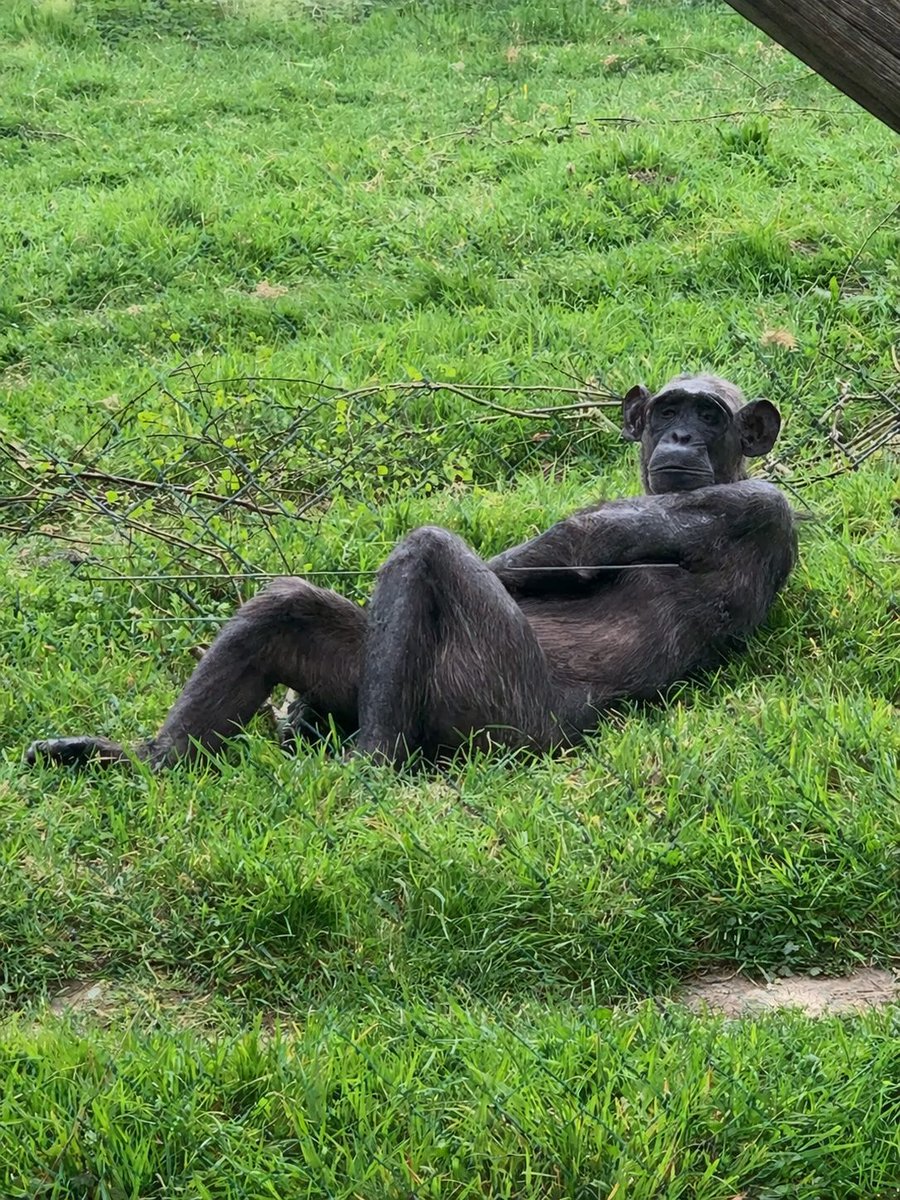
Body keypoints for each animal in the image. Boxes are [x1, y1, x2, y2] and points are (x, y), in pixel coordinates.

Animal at [25, 373, 797, 771]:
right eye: (668, 410)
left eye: (710, 416)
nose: (680, 434)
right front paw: (296, 715)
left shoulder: (756, 505)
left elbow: (580, 539)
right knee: (288, 605)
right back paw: (144, 759)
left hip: (496, 712)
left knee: (428, 553)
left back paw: (369, 762)